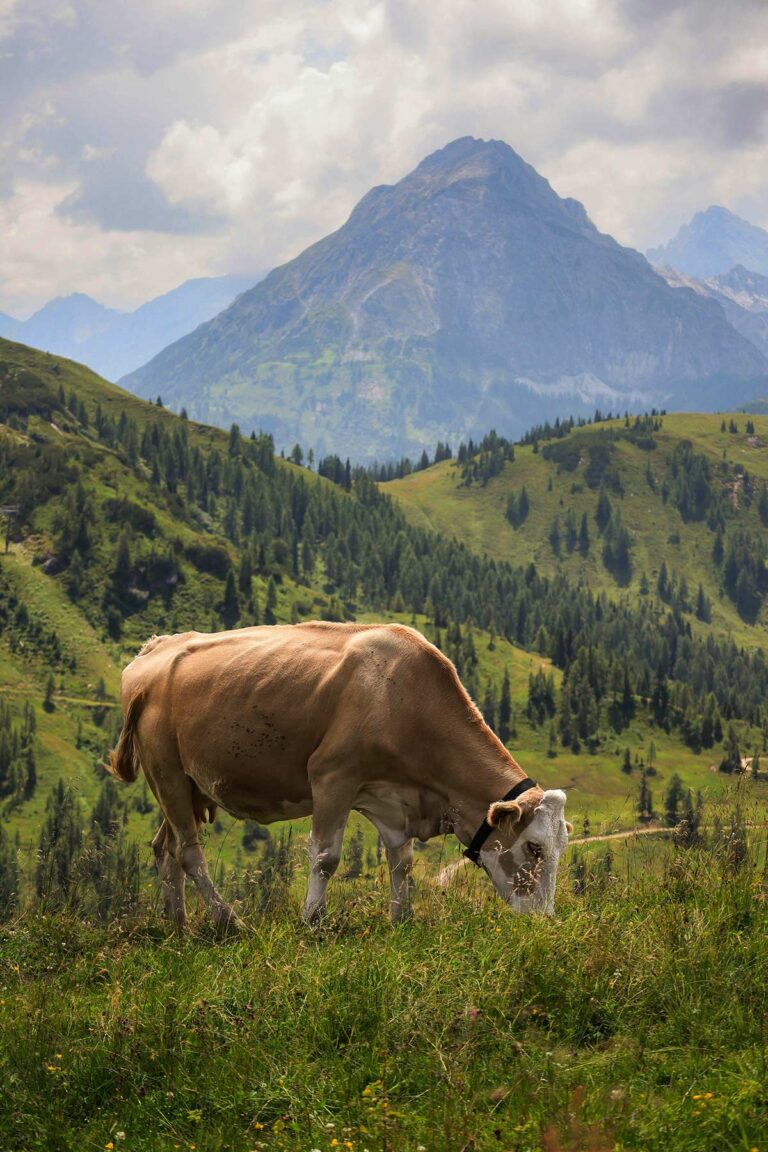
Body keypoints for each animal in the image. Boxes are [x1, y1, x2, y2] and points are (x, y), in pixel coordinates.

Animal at [111, 622, 573, 926]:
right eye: (534, 847)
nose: (543, 920)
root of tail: (153, 651)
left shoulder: (394, 801)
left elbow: (402, 864)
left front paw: (402, 921)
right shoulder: (333, 777)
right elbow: (326, 857)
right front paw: (312, 922)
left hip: (189, 786)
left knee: (165, 848)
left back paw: (179, 926)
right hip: (167, 772)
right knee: (190, 852)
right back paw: (228, 922)